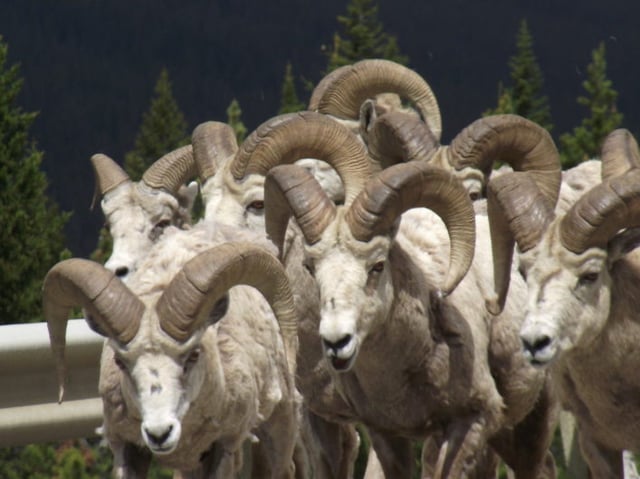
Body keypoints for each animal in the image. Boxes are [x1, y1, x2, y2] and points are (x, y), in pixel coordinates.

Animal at [43, 222, 300, 478]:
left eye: (193, 355)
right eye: (120, 362)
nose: (159, 434)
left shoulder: (224, 445)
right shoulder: (126, 447)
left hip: (280, 423)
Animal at [261, 113, 562, 478]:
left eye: (377, 265)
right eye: (310, 266)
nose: (336, 342)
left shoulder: (470, 422)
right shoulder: (386, 434)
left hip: (532, 422)